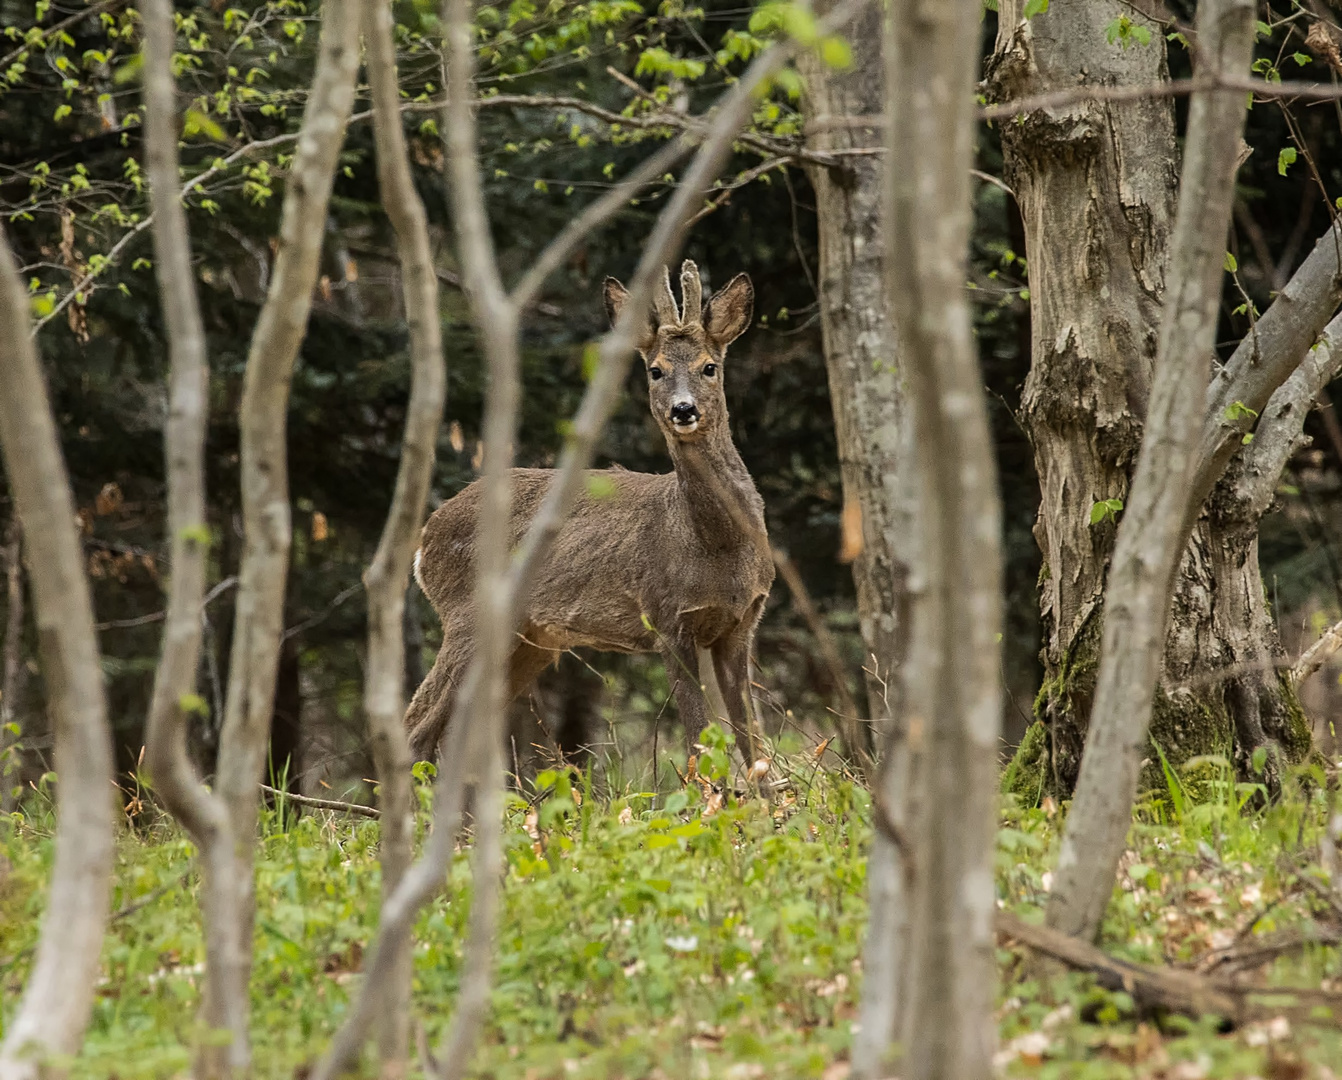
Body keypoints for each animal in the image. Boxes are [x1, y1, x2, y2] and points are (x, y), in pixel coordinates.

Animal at [402, 258, 772, 767]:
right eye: (655, 370)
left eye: (709, 367)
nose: (683, 409)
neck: (713, 544)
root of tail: (424, 538)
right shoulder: (666, 617)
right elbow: (699, 740)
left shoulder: (743, 623)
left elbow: (755, 742)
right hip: (468, 613)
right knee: (418, 727)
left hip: (531, 637)